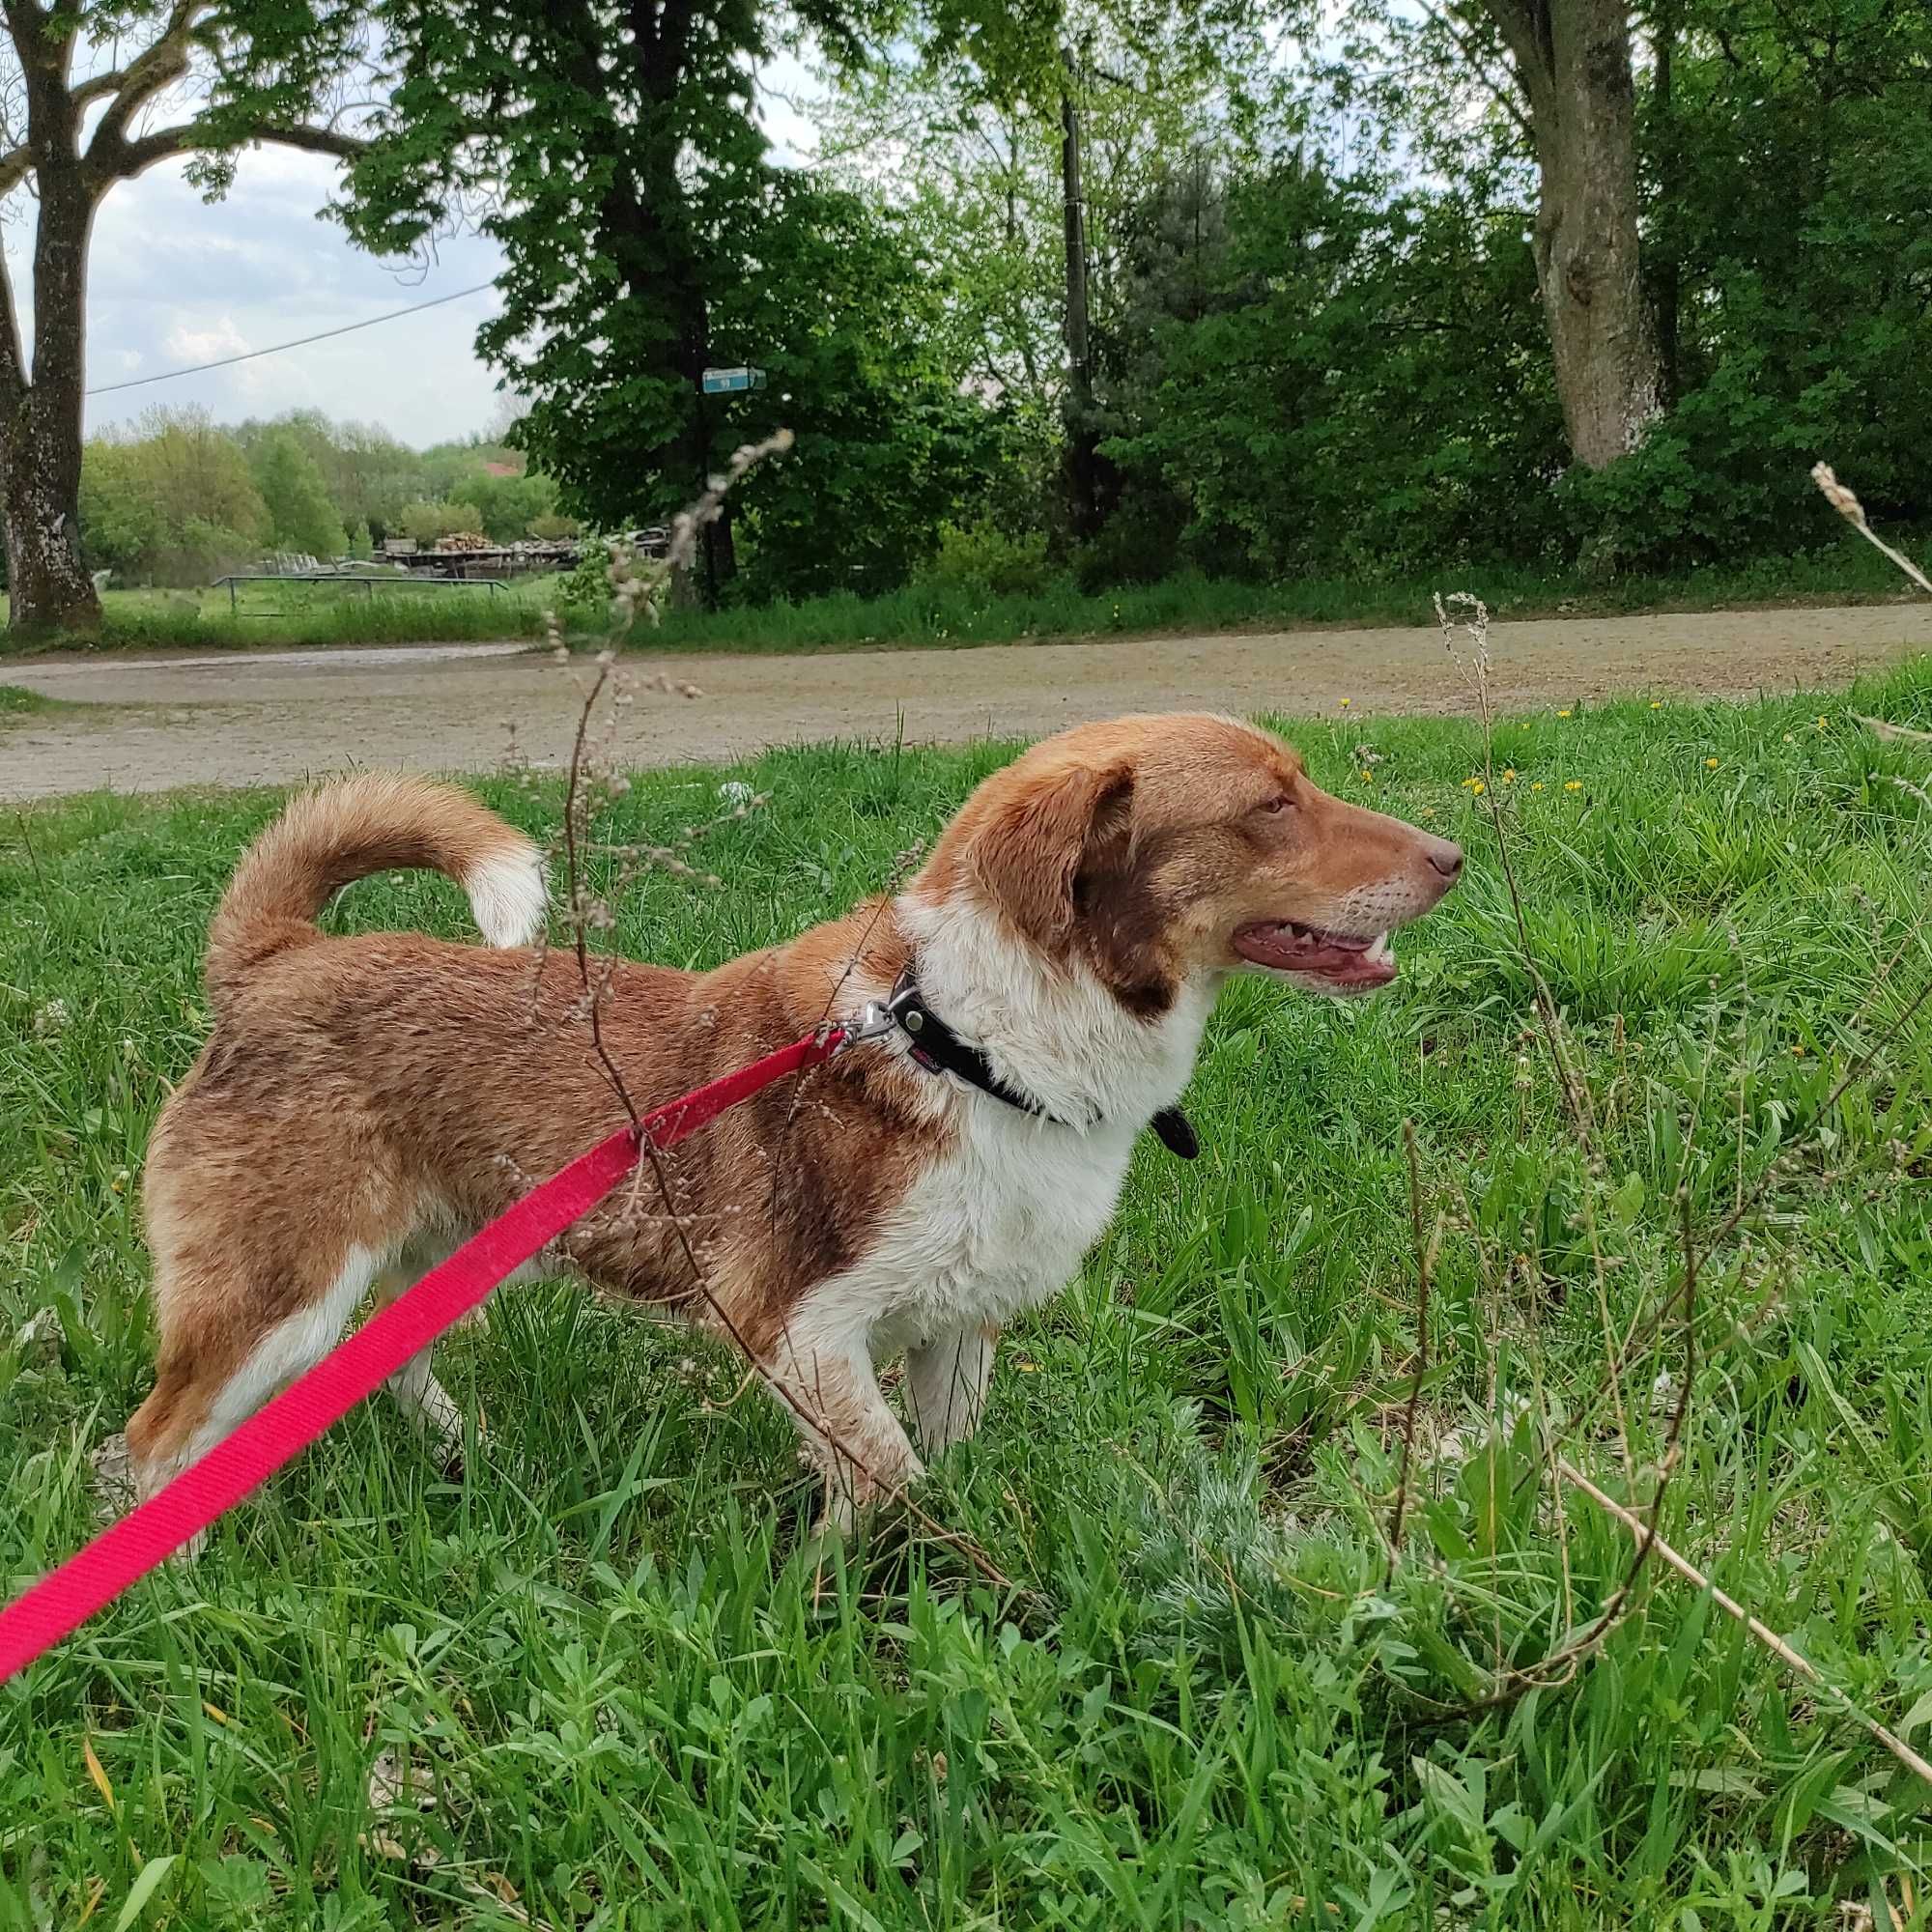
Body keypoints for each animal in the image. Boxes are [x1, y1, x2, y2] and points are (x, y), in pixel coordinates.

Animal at [128, 711, 1453, 1522]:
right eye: (1269, 806)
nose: (1448, 854)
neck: (969, 1042)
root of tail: (275, 959)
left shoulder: (953, 1328)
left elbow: (944, 1464)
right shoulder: (797, 1330)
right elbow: (895, 1482)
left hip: (427, 1256)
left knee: (377, 1364)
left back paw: (467, 1451)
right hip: (272, 1296)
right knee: (152, 1446)